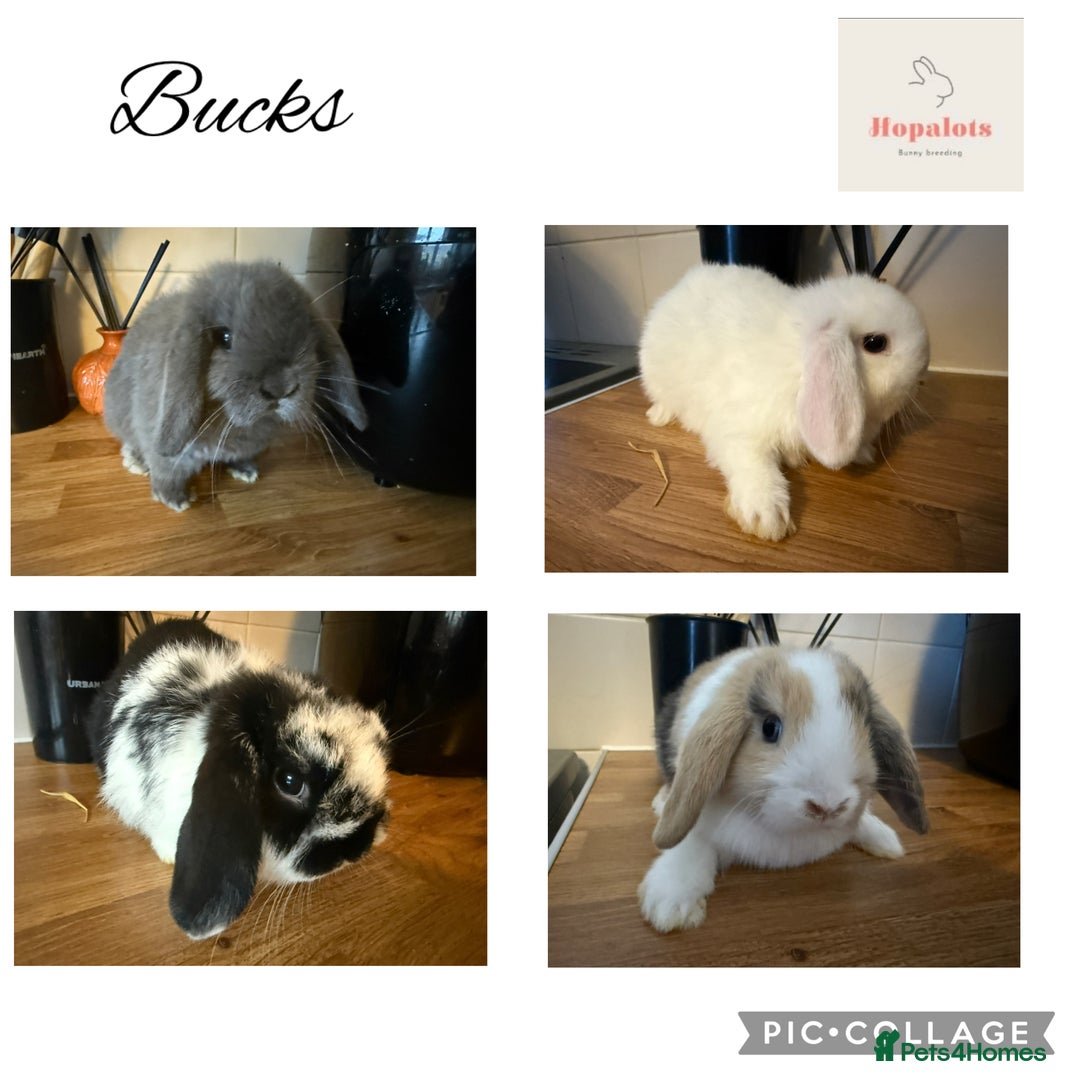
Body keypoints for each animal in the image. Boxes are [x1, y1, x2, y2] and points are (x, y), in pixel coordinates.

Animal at [103, 260, 369, 511]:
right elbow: (167, 474)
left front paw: (246, 471)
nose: (281, 388)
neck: (229, 420)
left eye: (309, 335)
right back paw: (137, 462)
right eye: (225, 338)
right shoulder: (168, 455)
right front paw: (175, 500)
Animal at [637, 645, 929, 933]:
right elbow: (692, 844)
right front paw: (671, 905)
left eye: (866, 728)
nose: (828, 807)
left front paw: (886, 841)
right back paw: (661, 804)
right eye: (770, 727)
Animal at [638, 263, 930, 540]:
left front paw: (863, 453)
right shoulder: (739, 429)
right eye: (875, 342)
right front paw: (766, 517)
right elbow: (752, 463)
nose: (923, 370)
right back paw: (660, 415)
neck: (798, 369)